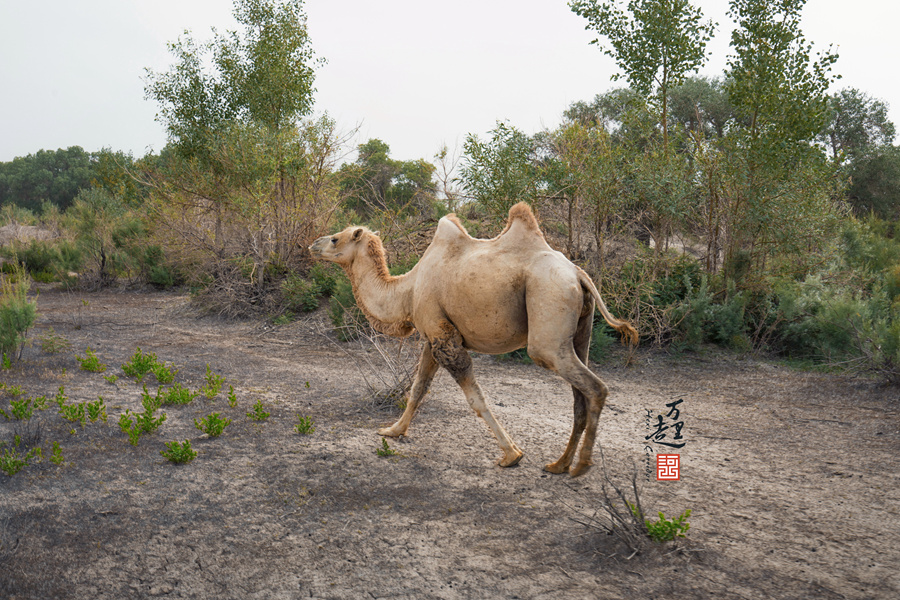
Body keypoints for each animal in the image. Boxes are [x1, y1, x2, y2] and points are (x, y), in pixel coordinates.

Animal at [312, 204, 640, 476]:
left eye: (336, 239)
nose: (314, 244)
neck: (408, 289)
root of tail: (578, 273)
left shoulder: (443, 337)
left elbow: (476, 398)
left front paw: (511, 455)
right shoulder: (433, 337)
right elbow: (418, 389)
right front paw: (393, 431)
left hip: (547, 314)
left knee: (594, 387)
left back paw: (581, 466)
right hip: (579, 332)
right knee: (579, 395)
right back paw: (559, 464)